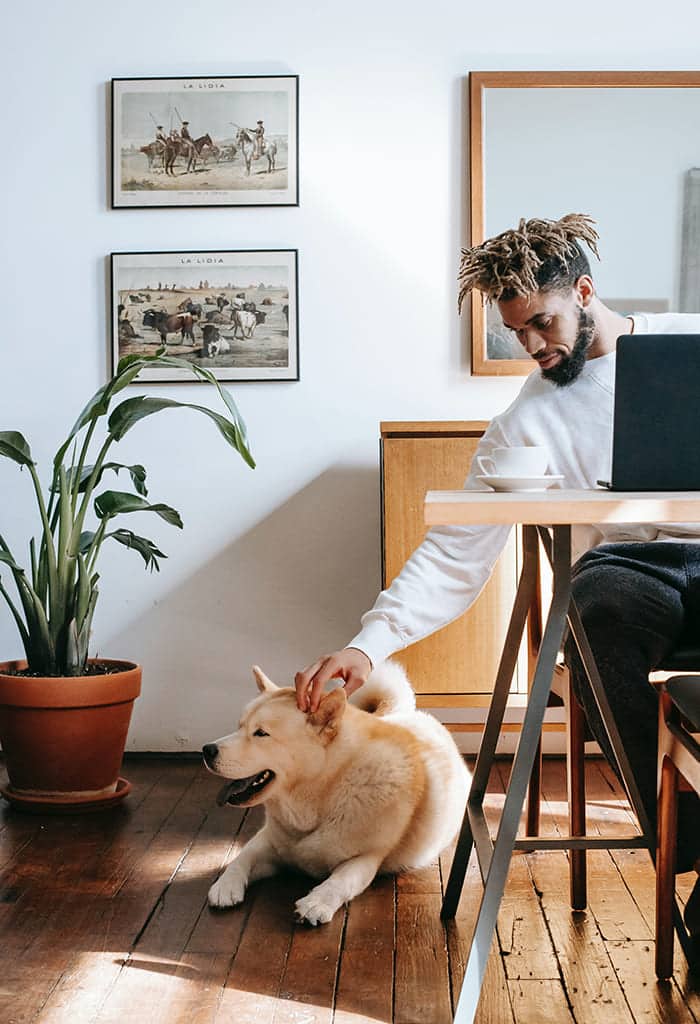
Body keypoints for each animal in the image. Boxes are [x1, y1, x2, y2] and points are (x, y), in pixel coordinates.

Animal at [200, 659, 470, 925]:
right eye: (239, 727)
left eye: (261, 733)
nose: (207, 750)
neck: (326, 793)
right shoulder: (270, 842)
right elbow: (243, 856)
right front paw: (226, 884)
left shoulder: (367, 857)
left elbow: (341, 881)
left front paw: (317, 902)